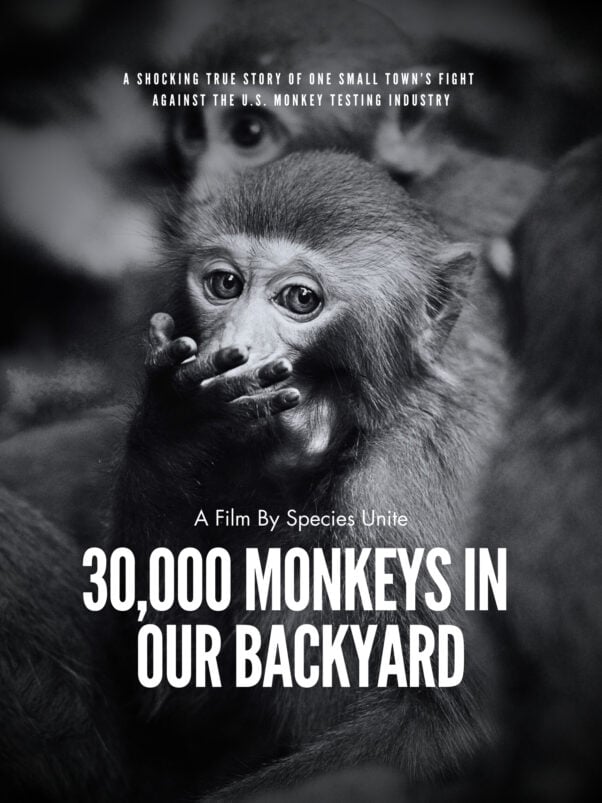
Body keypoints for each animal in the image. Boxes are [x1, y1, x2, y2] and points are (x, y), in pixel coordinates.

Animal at [107, 151, 508, 801]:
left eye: (299, 299)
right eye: (224, 285)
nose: (236, 347)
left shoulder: (399, 494)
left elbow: (456, 729)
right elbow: (174, 693)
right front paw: (177, 421)